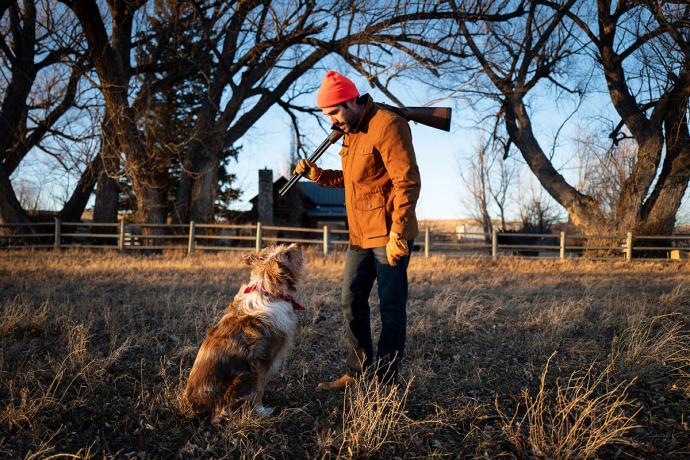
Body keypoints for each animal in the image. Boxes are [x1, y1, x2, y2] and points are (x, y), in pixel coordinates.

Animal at [184, 244, 302, 420]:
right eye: (287, 254)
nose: (298, 245)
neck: (269, 291)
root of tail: (192, 406)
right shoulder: (262, 361)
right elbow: (259, 389)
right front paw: (261, 410)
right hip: (246, 374)